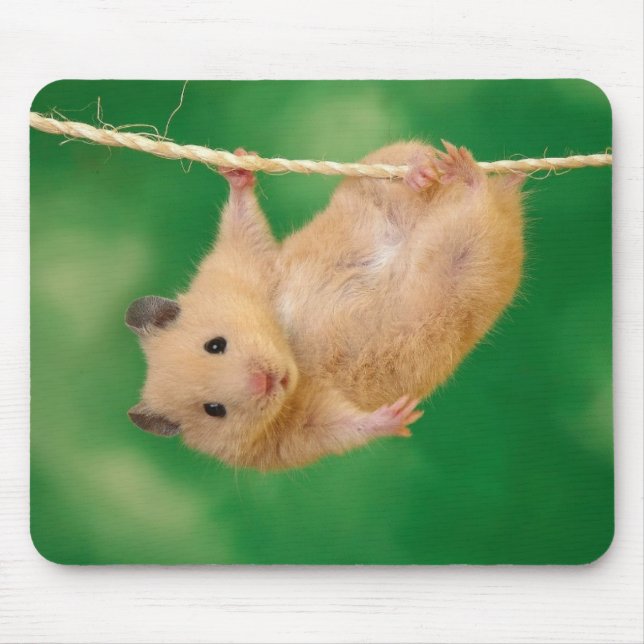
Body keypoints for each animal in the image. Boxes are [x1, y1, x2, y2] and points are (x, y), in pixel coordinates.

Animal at [125, 141, 525, 471]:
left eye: (215, 344)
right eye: (214, 410)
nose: (267, 381)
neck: (290, 349)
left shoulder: (245, 264)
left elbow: (244, 225)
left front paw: (238, 164)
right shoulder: (297, 435)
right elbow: (345, 426)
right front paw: (400, 415)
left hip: (375, 185)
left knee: (404, 163)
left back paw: (434, 169)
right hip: (470, 259)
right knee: (480, 207)